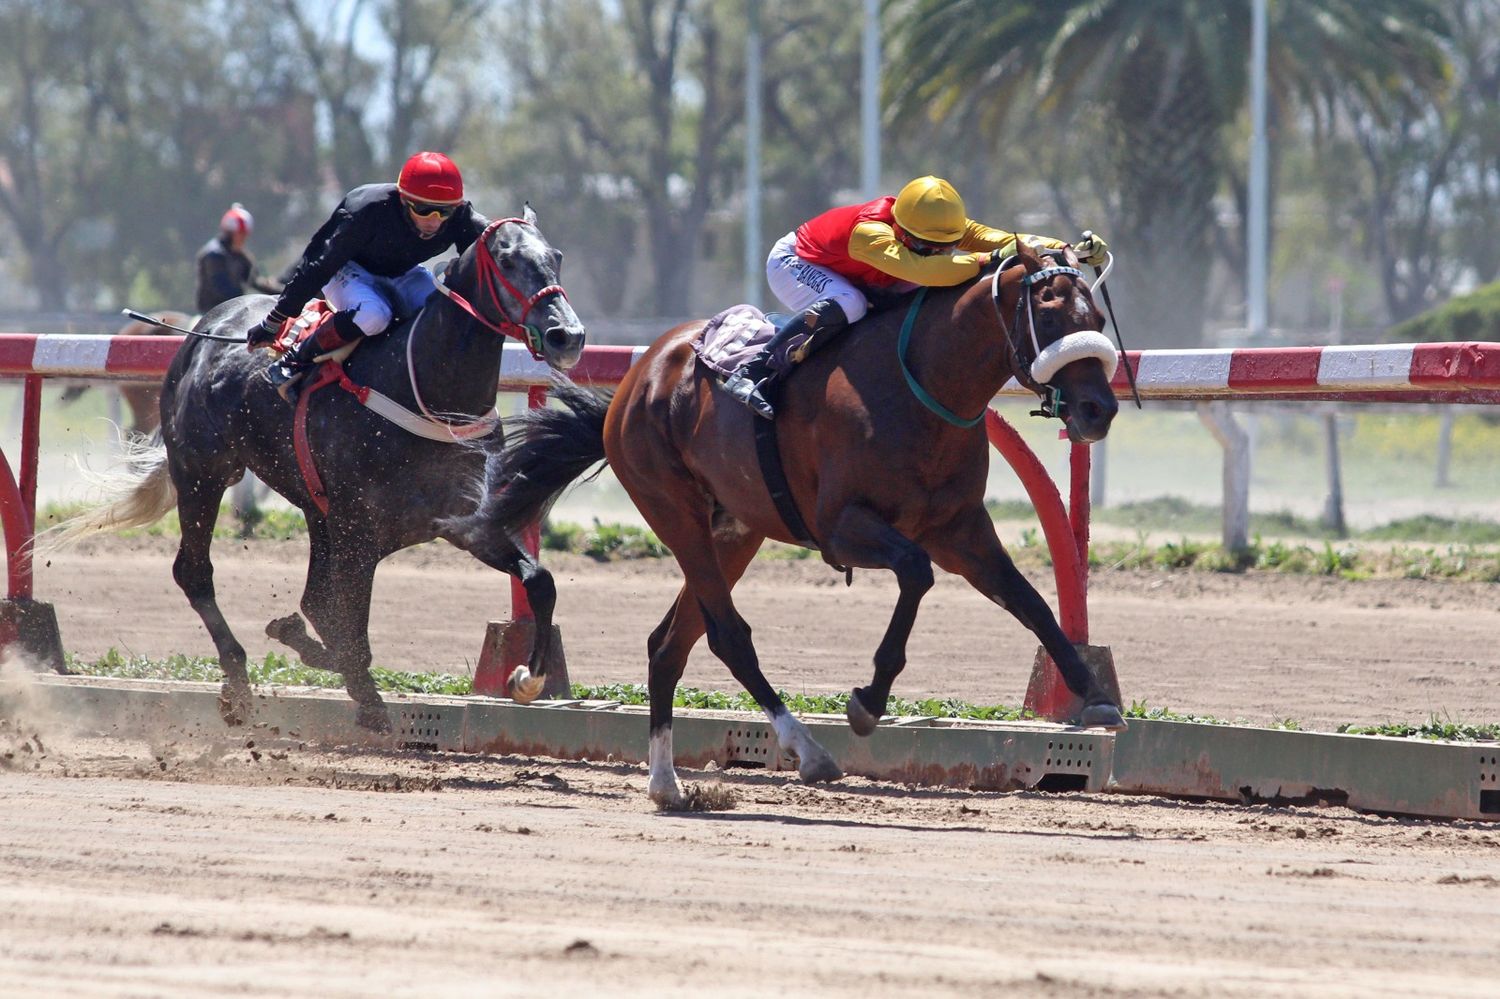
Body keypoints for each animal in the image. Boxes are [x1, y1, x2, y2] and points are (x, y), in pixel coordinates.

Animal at [52, 208, 582, 723]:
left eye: (557, 257)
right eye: (508, 260)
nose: (568, 336)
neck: (426, 391)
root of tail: (200, 335)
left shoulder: (458, 518)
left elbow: (539, 581)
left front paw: (529, 677)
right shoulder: (358, 530)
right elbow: (347, 627)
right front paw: (363, 696)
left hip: (311, 509)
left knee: (307, 599)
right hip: (203, 472)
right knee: (195, 572)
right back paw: (238, 681)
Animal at [450, 240, 1122, 804]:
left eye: (1095, 315)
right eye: (1052, 315)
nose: (1100, 409)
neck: (921, 382)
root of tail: (636, 381)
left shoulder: (959, 528)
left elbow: (1029, 601)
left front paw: (1094, 697)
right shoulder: (844, 525)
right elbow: (916, 573)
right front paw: (868, 700)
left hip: (734, 532)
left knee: (669, 644)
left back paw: (667, 785)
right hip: (674, 510)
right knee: (728, 636)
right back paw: (808, 751)